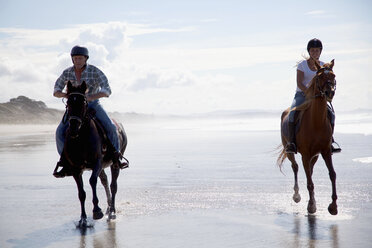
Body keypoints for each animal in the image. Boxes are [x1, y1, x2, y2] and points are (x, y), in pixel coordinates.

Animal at [278, 59, 338, 214]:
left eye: (333, 75)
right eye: (320, 76)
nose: (329, 92)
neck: (316, 122)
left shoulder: (325, 151)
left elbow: (332, 174)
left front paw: (333, 206)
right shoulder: (305, 154)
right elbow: (309, 182)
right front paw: (311, 206)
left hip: (315, 155)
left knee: (309, 170)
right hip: (290, 151)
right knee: (295, 167)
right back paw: (297, 195)